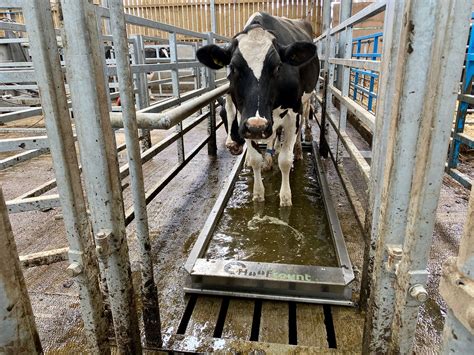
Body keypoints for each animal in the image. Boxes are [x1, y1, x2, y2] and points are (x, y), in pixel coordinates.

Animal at [196, 12, 318, 207]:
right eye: (233, 67)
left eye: (277, 67)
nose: (257, 126)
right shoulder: (245, 120)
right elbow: (255, 159)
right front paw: (258, 194)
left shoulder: (293, 112)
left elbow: (285, 160)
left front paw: (285, 198)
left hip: (305, 103)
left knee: (301, 126)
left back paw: (298, 151)